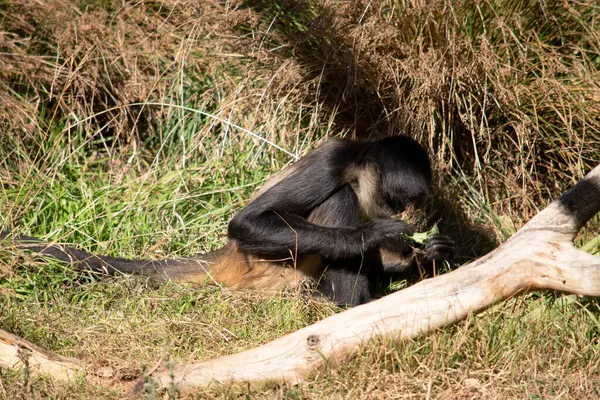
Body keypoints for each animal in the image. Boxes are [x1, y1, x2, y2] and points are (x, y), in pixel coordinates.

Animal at [2, 136, 454, 308]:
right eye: (395, 199)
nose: (399, 214)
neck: (361, 166)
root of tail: (230, 259)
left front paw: (425, 253)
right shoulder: (335, 157)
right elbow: (247, 223)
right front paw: (373, 233)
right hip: (274, 272)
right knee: (337, 200)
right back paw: (351, 307)